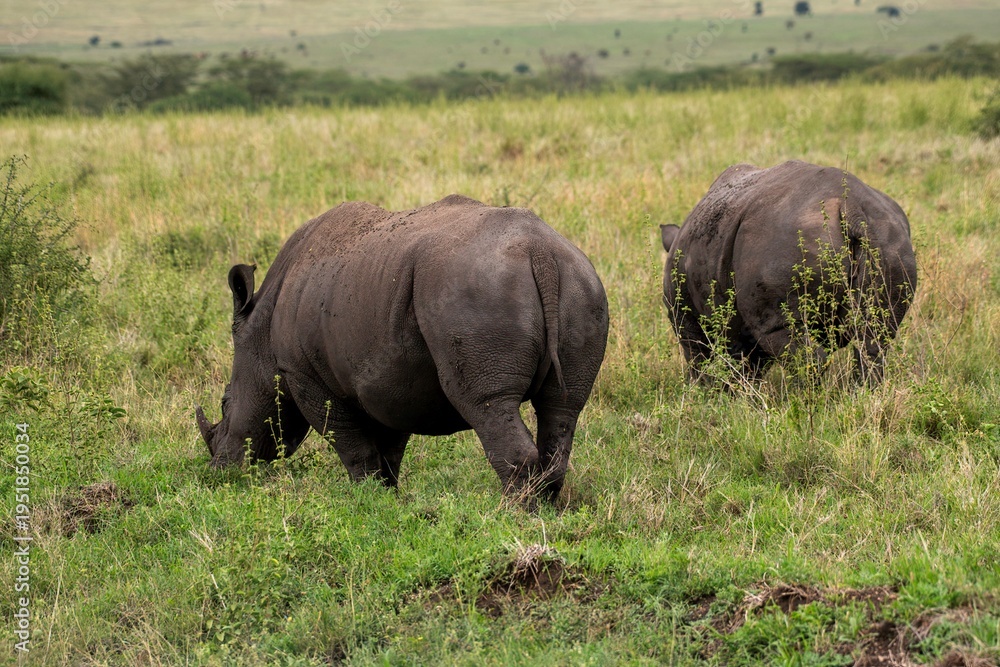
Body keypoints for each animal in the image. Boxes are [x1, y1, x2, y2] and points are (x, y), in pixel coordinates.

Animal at [196, 194, 609, 500]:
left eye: (225, 403)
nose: (218, 472)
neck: (261, 330)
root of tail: (538, 252)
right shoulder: (391, 379)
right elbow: (389, 448)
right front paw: (388, 499)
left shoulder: (302, 374)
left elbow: (349, 443)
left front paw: (365, 501)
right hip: (580, 282)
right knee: (562, 407)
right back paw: (546, 511)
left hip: (475, 291)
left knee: (489, 403)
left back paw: (511, 517)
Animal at [661, 160, 917, 384]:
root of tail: (851, 208)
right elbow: (747, 363)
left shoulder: (686, 316)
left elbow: (700, 357)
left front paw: (708, 394)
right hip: (889, 241)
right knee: (874, 340)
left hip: (782, 244)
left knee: (785, 336)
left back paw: (805, 401)